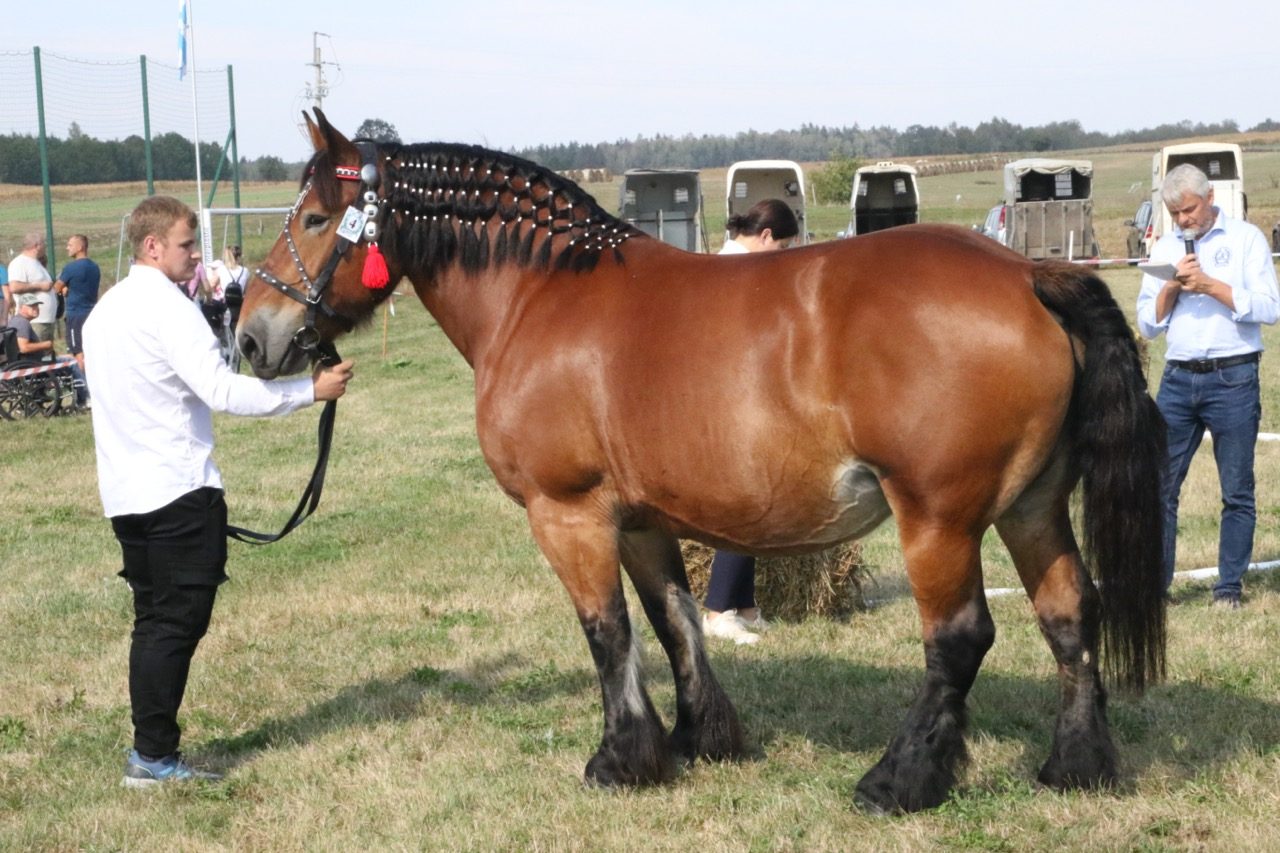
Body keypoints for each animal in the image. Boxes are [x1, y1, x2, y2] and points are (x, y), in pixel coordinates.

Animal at [237, 109, 1167, 813]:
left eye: (313, 218)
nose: (250, 334)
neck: (540, 295)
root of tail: (1029, 274)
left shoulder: (567, 512)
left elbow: (607, 631)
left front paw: (620, 758)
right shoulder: (643, 519)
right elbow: (674, 621)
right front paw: (699, 739)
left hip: (937, 517)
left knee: (960, 638)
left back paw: (898, 780)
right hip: (1030, 505)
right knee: (1068, 613)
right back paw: (1075, 765)